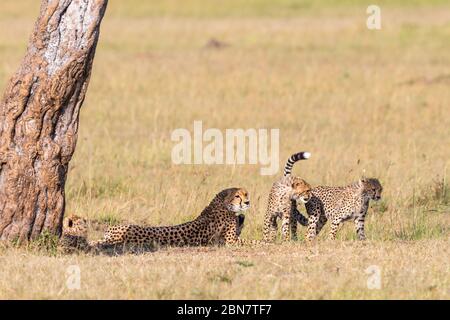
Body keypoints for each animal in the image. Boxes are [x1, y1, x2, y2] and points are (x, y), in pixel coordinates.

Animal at [92, 189, 260, 249]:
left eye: (246, 194)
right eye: (237, 195)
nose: (247, 202)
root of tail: (110, 229)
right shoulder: (230, 241)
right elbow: (252, 241)